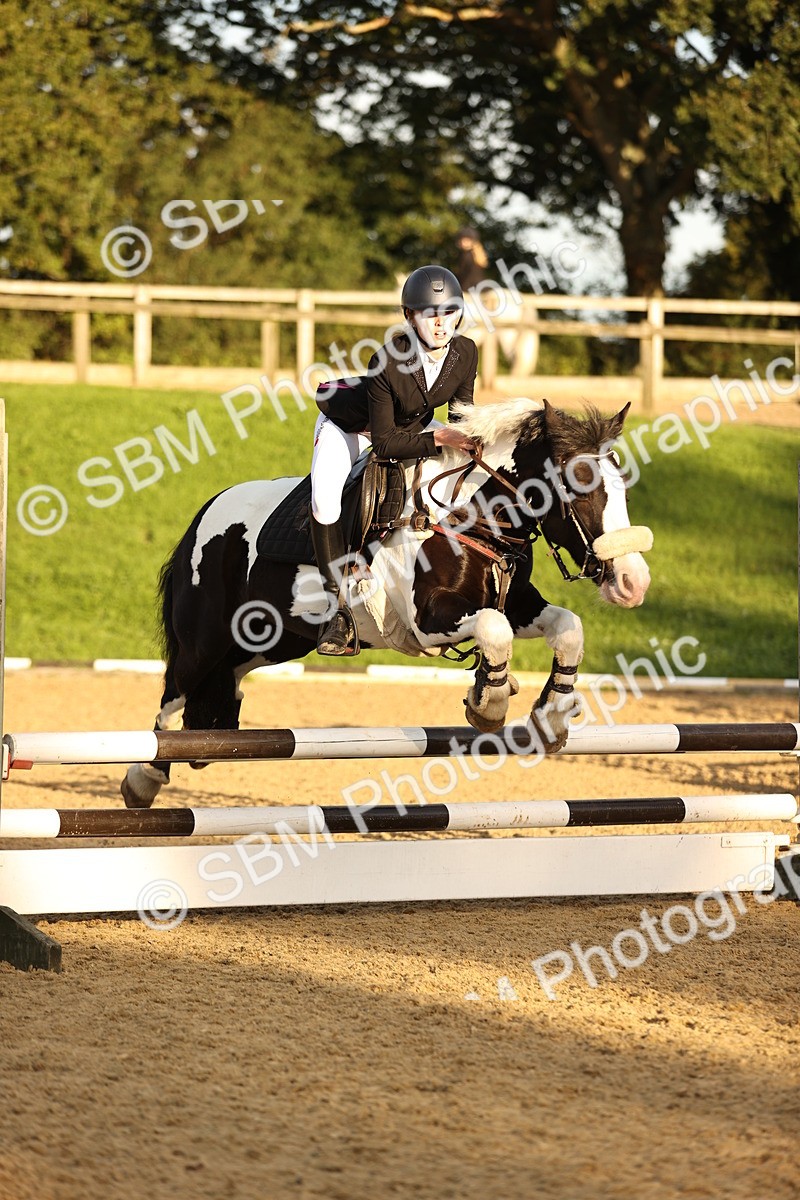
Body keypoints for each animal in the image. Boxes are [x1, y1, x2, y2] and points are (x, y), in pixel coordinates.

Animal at [121, 397, 653, 808]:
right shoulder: (428, 621)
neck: (467, 515)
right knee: (174, 691)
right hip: (204, 637)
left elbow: (567, 628)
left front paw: (550, 715)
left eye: (623, 486)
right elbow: (492, 630)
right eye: (582, 486)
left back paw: (212, 737)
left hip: (274, 641)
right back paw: (144, 779)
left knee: (225, 678)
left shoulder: (517, 604)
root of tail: (206, 511)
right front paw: (490, 704)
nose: (633, 582)